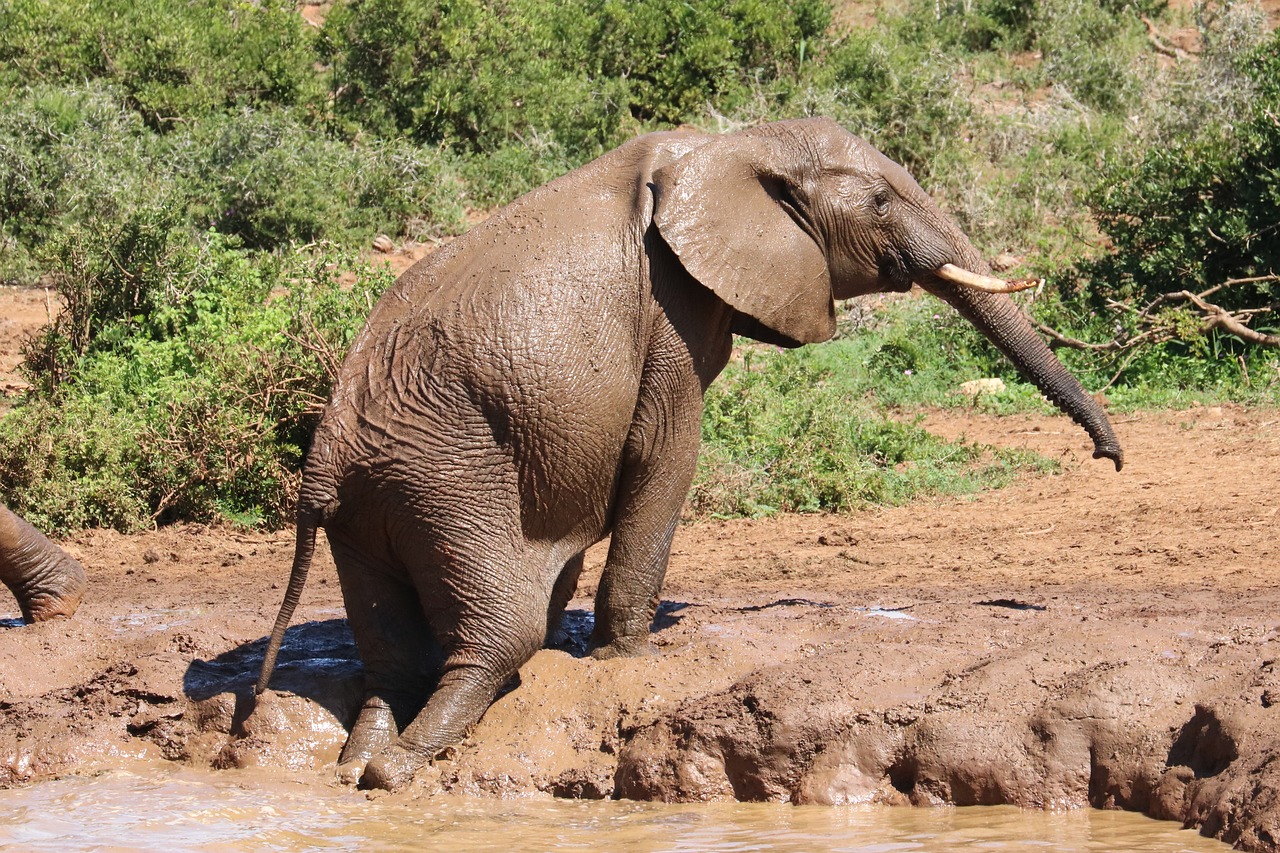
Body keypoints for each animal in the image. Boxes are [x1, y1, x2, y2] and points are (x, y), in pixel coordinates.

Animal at [257, 116, 1121, 788]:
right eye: (879, 201)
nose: (1111, 461)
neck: (733, 145)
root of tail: (322, 460)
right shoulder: (673, 303)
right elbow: (667, 448)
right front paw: (628, 657)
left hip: (378, 500)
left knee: (395, 654)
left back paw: (356, 765)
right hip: (450, 478)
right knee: (497, 637)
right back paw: (397, 767)